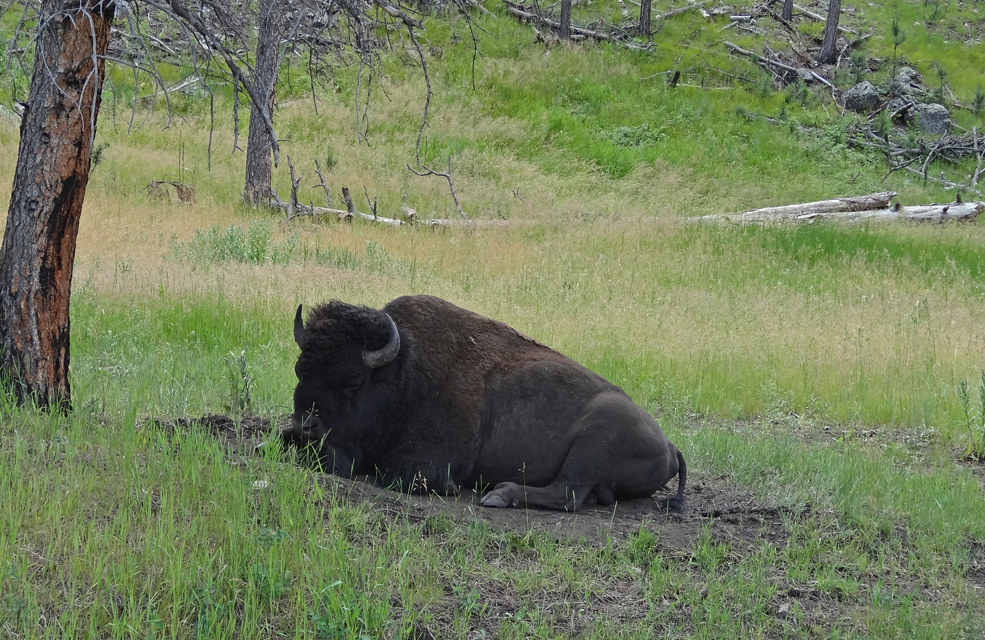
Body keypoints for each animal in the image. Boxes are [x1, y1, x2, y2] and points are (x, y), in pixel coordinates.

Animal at [283, 295, 686, 512]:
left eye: (352, 380)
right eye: (300, 369)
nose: (305, 426)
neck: (407, 372)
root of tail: (669, 444)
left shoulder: (429, 460)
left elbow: (398, 474)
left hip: (594, 441)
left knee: (567, 493)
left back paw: (499, 495)